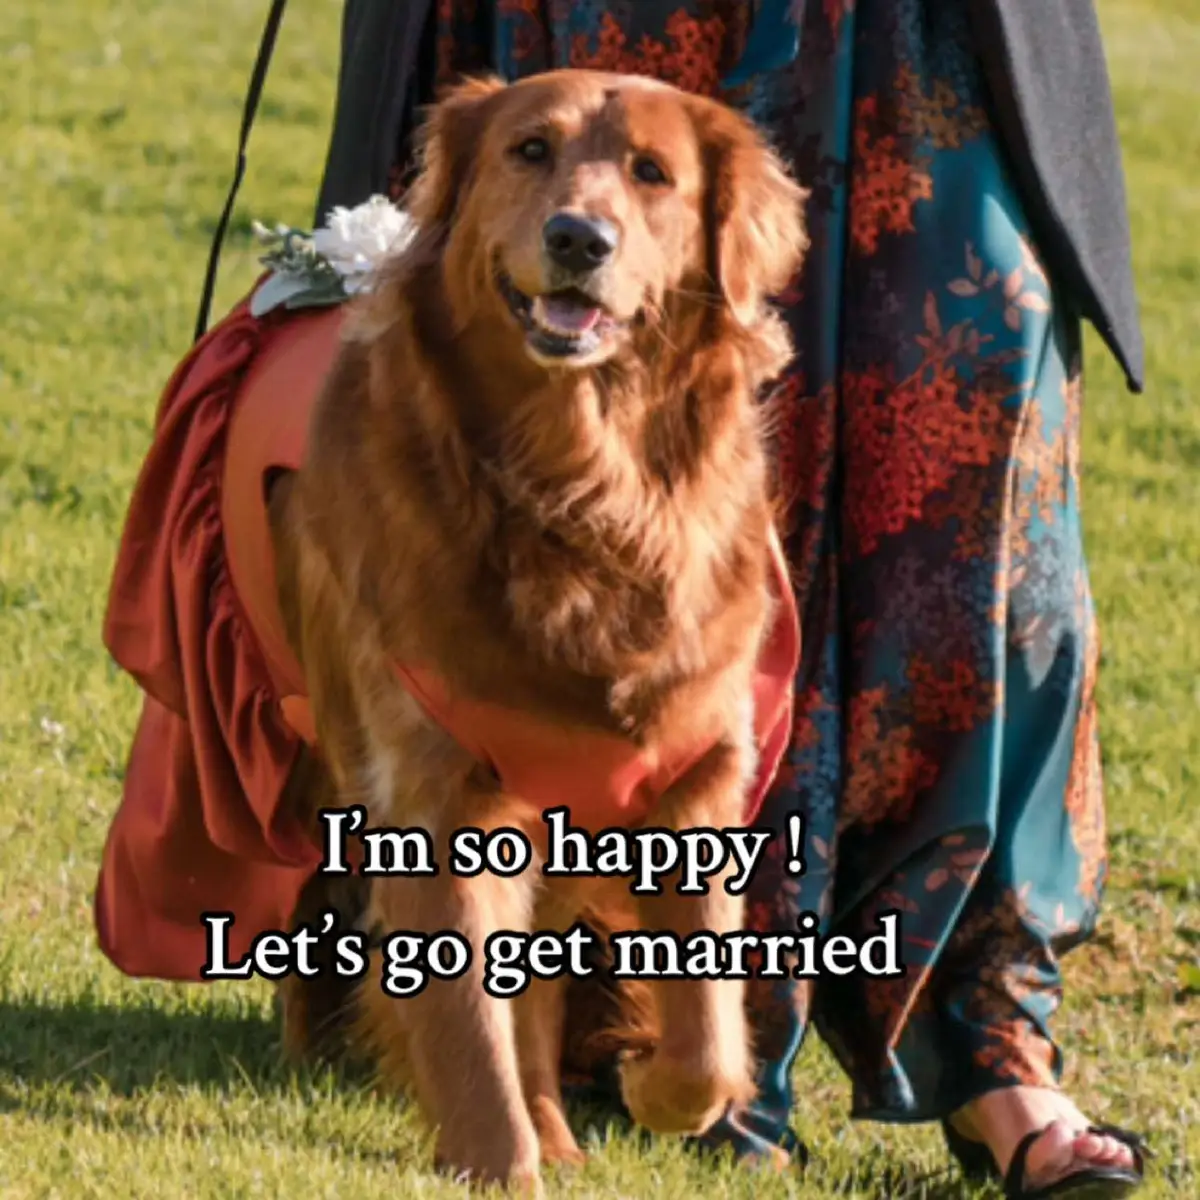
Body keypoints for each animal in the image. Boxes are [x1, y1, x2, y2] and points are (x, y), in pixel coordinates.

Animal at [267, 72, 801, 1190]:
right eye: (529, 150)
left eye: (652, 172)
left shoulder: (697, 769)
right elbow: (467, 1026)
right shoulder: (441, 793)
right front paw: (497, 1165)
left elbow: (705, 1036)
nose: (577, 238)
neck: (583, 491)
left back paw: (558, 1123)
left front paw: (652, 1092)